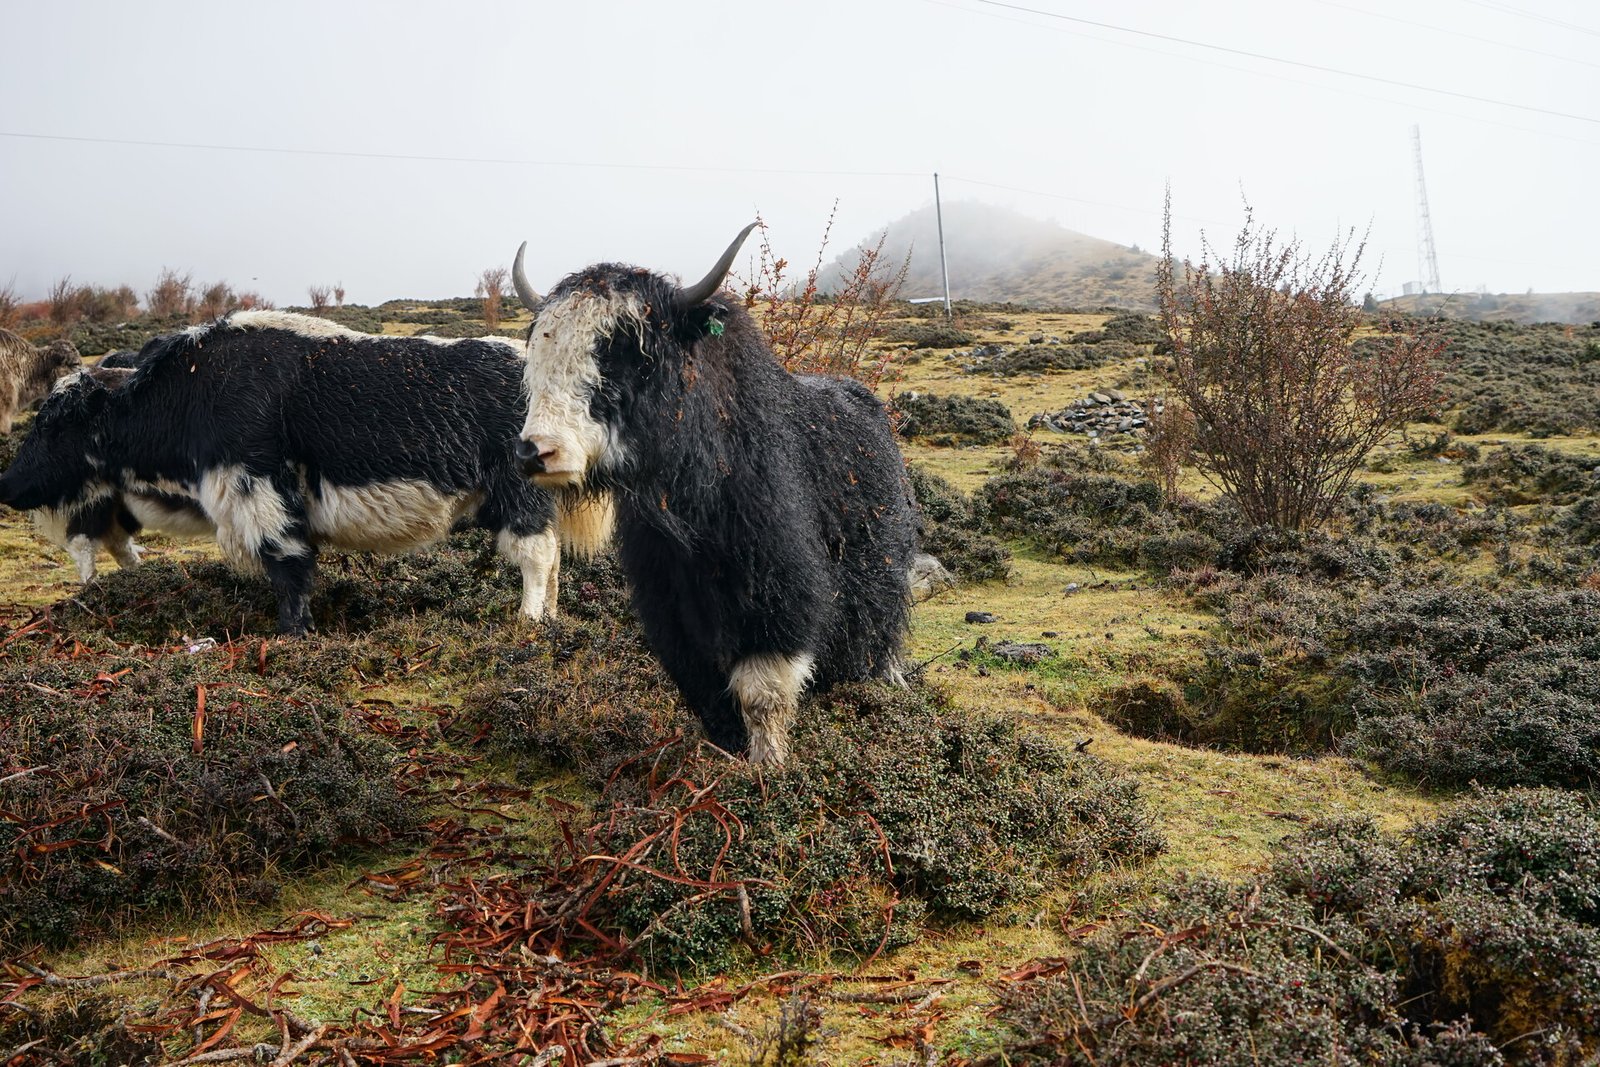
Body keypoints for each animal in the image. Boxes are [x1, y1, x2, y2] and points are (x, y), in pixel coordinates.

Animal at [0, 310, 600, 633]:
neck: (191, 390)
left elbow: (287, 566)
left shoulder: (257, 489)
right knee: (551, 558)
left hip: (518, 495)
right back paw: (549, 621)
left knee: (536, 555)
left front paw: (292, 633)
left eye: (55, 423)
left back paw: (527, 623)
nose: (8, 486)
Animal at [508, 226, 916, 765]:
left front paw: (769, 766)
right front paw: (725, 754)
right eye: (538, 350)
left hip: (882, 578)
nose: (536, 452)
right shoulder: (670, 605)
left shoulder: (779, 591)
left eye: (629, 350)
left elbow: (763, 689)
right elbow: (705, 689)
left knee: (878, 637)